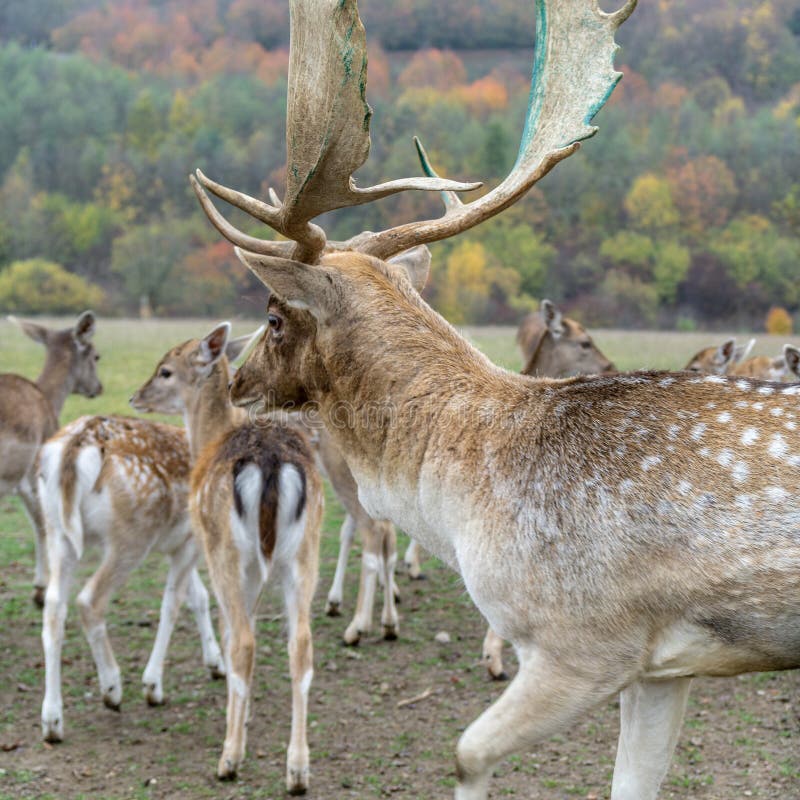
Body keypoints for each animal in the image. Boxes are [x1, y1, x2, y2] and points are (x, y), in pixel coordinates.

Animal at [38, 412, 228, 744]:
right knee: (89, 600)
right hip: (131, 536)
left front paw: (216, 664)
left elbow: (198, 597)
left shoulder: (176, 545)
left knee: (53, 607)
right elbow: (173, 604)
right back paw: (112, 688)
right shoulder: (189, 543)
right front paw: (153, 687)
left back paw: (52, 721)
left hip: (57, 532)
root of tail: (76, 446)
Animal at [131, 324, 322, 792]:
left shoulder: (215, 551)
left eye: (165, 370)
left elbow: (224, 626)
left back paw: (229, 758)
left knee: (244, 641)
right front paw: (247, 714)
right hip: (303, 552)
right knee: (300, 644)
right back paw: (297, 769)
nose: (135, 395)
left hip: (227, 552)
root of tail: (271, 463)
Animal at [188, 3, 800, 796]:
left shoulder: (587, 641)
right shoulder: (663, 670)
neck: (464, 491)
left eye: (271, 315)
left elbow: (467, 752)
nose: (238, 379)